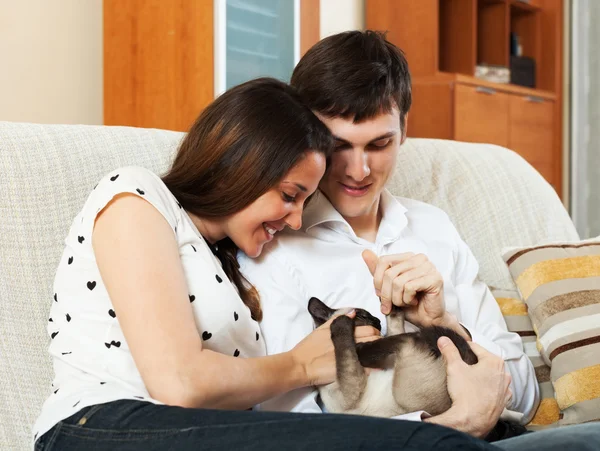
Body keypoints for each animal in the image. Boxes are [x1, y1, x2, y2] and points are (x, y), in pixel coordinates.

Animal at [308, 298, 476, 418]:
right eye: (363, 315)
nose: (377, 321)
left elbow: (394, 324)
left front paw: (392, 305)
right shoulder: (350, 388)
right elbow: (344, 349)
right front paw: (342, 322)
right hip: (404, 387)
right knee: (408, 339)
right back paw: (361, 347)